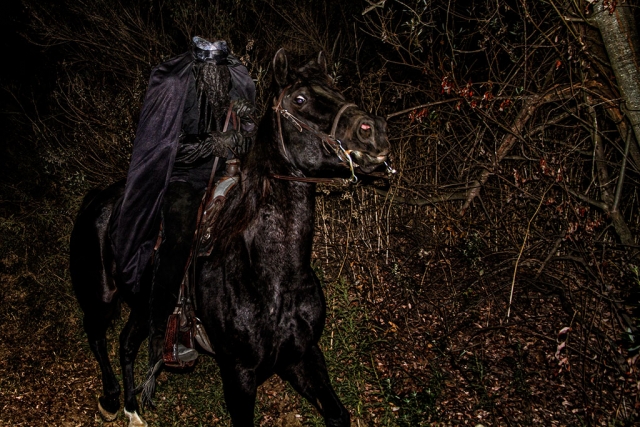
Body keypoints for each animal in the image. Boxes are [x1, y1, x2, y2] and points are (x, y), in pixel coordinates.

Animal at [70, 48, 390, 426]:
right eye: (299, 99)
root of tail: (97, 199)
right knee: (95, 334)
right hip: (102, 296)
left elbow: (338, 414)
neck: (272, 276)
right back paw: (110, 398)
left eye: (335, 88)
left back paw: (133, 409)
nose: (374, 132)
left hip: (144, 305)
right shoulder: (239, 375)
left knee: (126, 343)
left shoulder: (302, 357)